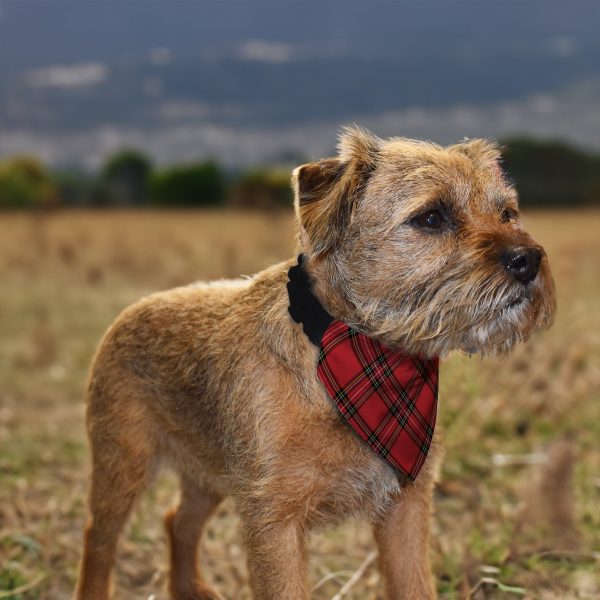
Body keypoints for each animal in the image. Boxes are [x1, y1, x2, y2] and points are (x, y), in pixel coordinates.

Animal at [75, 127, 556, 600]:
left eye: (508, 212)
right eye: (432, 217)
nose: (528, 259)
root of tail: (130, 312)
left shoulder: (406, 508)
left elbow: (414, 586)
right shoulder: (275, 522)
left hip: (207, 473)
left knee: (178, 521)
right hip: (123, 465)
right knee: (98, 538)